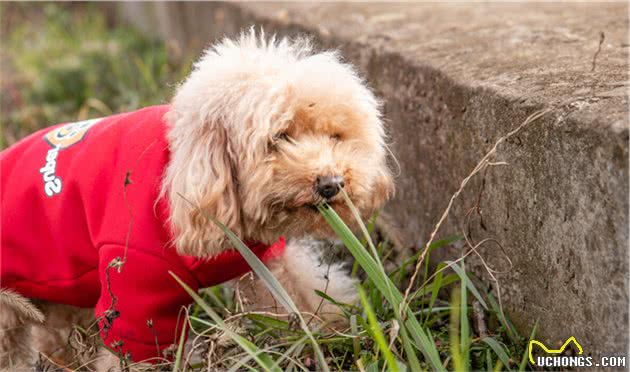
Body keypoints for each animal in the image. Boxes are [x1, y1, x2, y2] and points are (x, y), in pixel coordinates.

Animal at [0, 30, 396, 370]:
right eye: (280, 137)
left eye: (336, 136)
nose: (332, 183)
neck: (182, 168)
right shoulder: (134, 283)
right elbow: (134, 348)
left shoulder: (265, 258)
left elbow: (300, 292)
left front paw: (331, 333)